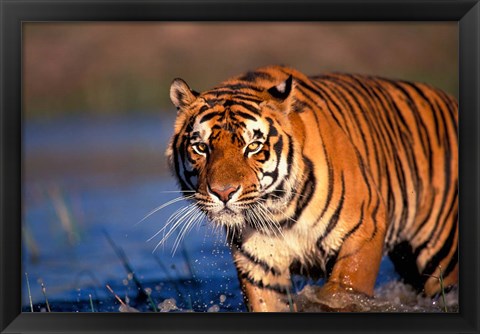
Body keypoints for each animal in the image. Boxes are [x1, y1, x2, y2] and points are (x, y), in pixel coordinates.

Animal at [165, 66, 458, 314]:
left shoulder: (365, 228)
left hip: (444, 255)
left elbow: (342, 292)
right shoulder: (259, 262)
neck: (277, 213)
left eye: (253, 146)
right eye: (201, 147)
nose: (223, 193)